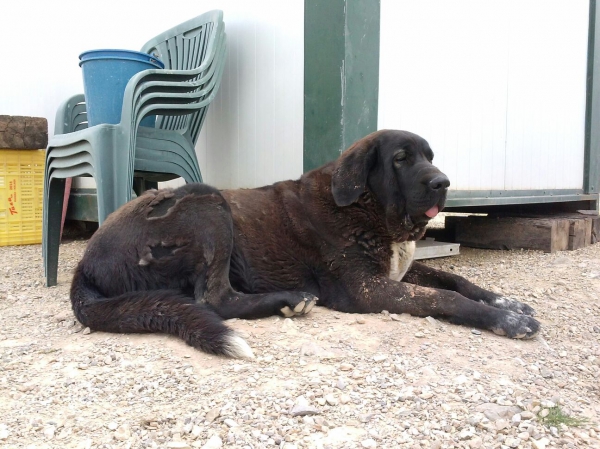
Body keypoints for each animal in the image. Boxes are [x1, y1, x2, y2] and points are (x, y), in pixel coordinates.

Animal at [70, 130, 540, 356]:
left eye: (430, 156)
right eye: (401, 159)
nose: (443, 182)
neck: (367, 207)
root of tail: (85, 264)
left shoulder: (397, 270)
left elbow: (456, 281)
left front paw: (508, 303)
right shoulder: (367, 290)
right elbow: (446, 298)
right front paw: (508, 321)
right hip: (208, 203)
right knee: (214, 299)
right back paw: (289, 299)